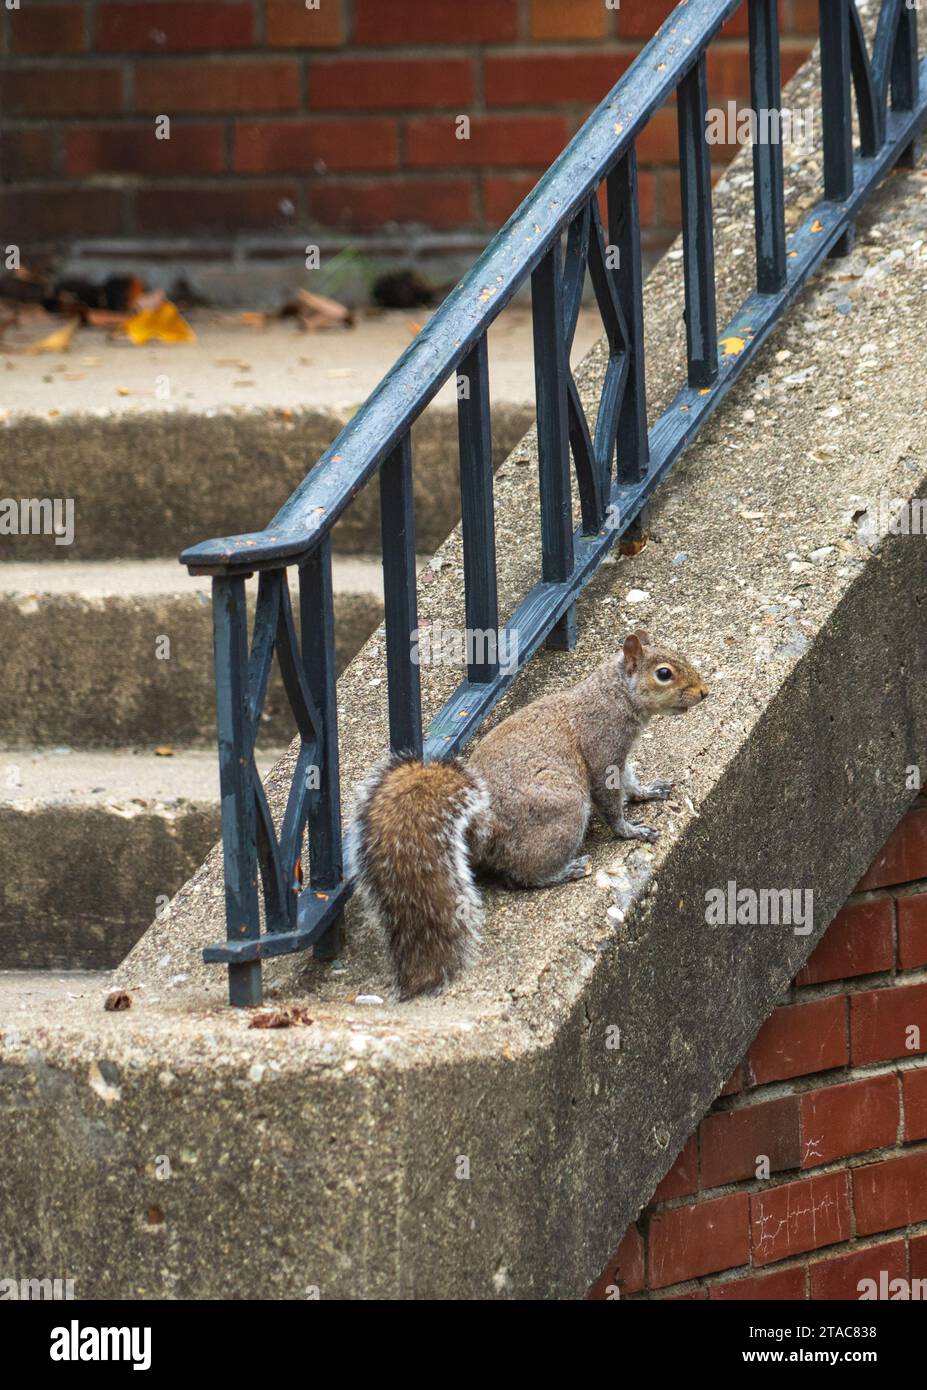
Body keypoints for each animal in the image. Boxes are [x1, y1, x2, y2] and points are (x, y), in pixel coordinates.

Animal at [344, 631, 706, 1000]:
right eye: (664, 673)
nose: (704, 691)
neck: (615, 694)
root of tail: (481, 830)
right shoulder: (604, 750)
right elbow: (610, 801)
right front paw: (630, 830)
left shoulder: (621, 756)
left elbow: (630, 781)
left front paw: (648, 791)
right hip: (565, 812)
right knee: (520, 876)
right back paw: (564, 871)